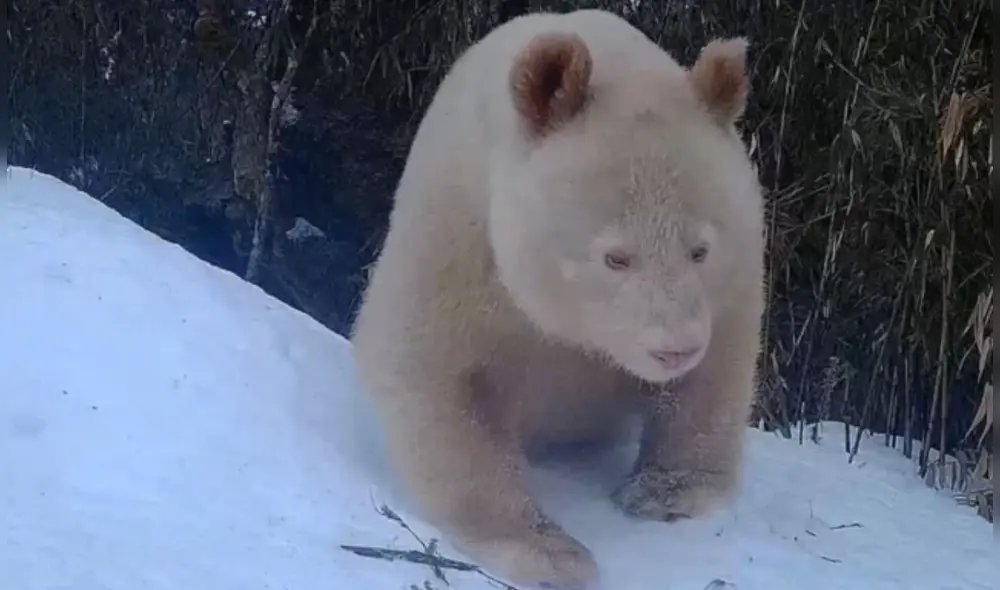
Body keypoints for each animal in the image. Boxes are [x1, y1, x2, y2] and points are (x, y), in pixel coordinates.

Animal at [350, 8, 765, 590]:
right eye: (615, 257)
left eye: (700, 249)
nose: (674, 349)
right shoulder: (460, 237)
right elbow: (432, 372)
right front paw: (551, 553)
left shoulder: (736, 266)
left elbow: (716, 368)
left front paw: (666, 491)